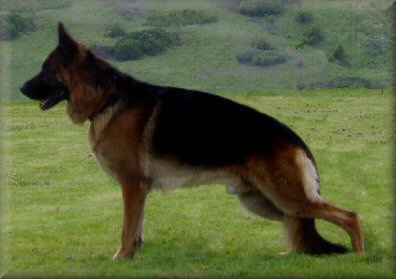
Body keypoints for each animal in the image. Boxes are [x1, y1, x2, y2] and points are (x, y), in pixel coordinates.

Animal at [20, 23, 364, 260]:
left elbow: (127, 227)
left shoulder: (132, 184)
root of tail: (298, 141)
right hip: (264, 201)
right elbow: (137, 226)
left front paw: (121, 257)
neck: (108, 99)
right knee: (298, 226)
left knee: (350, 216)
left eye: (45, 70)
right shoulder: (139, 190)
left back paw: (360, 256)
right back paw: (290, 256)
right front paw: (134, 254)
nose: (21, 88)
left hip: (285, 196)